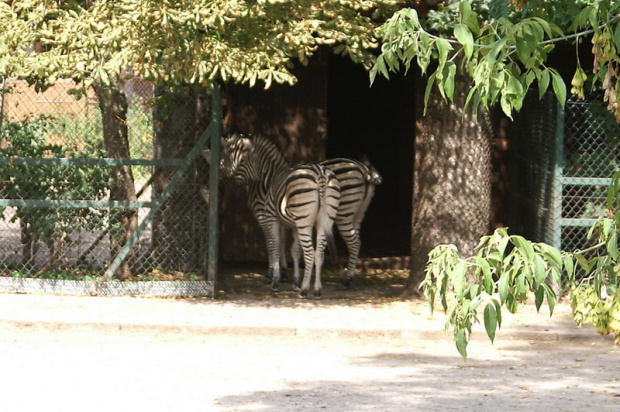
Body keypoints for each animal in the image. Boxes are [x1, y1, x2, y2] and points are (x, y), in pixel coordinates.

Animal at [213, 134, 340, 298]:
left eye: (242, 161)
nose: (234, 186)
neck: (270, 177)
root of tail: (320, 174)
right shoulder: (291, 223)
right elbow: (293, 249)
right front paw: (294, 280)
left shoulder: (268, 216)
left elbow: (273, 244)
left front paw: (274, 278)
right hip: (324, 221)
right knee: (319, 253)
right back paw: (317, 290)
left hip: (304, 222)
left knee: (310, 253)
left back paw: (304, 290)